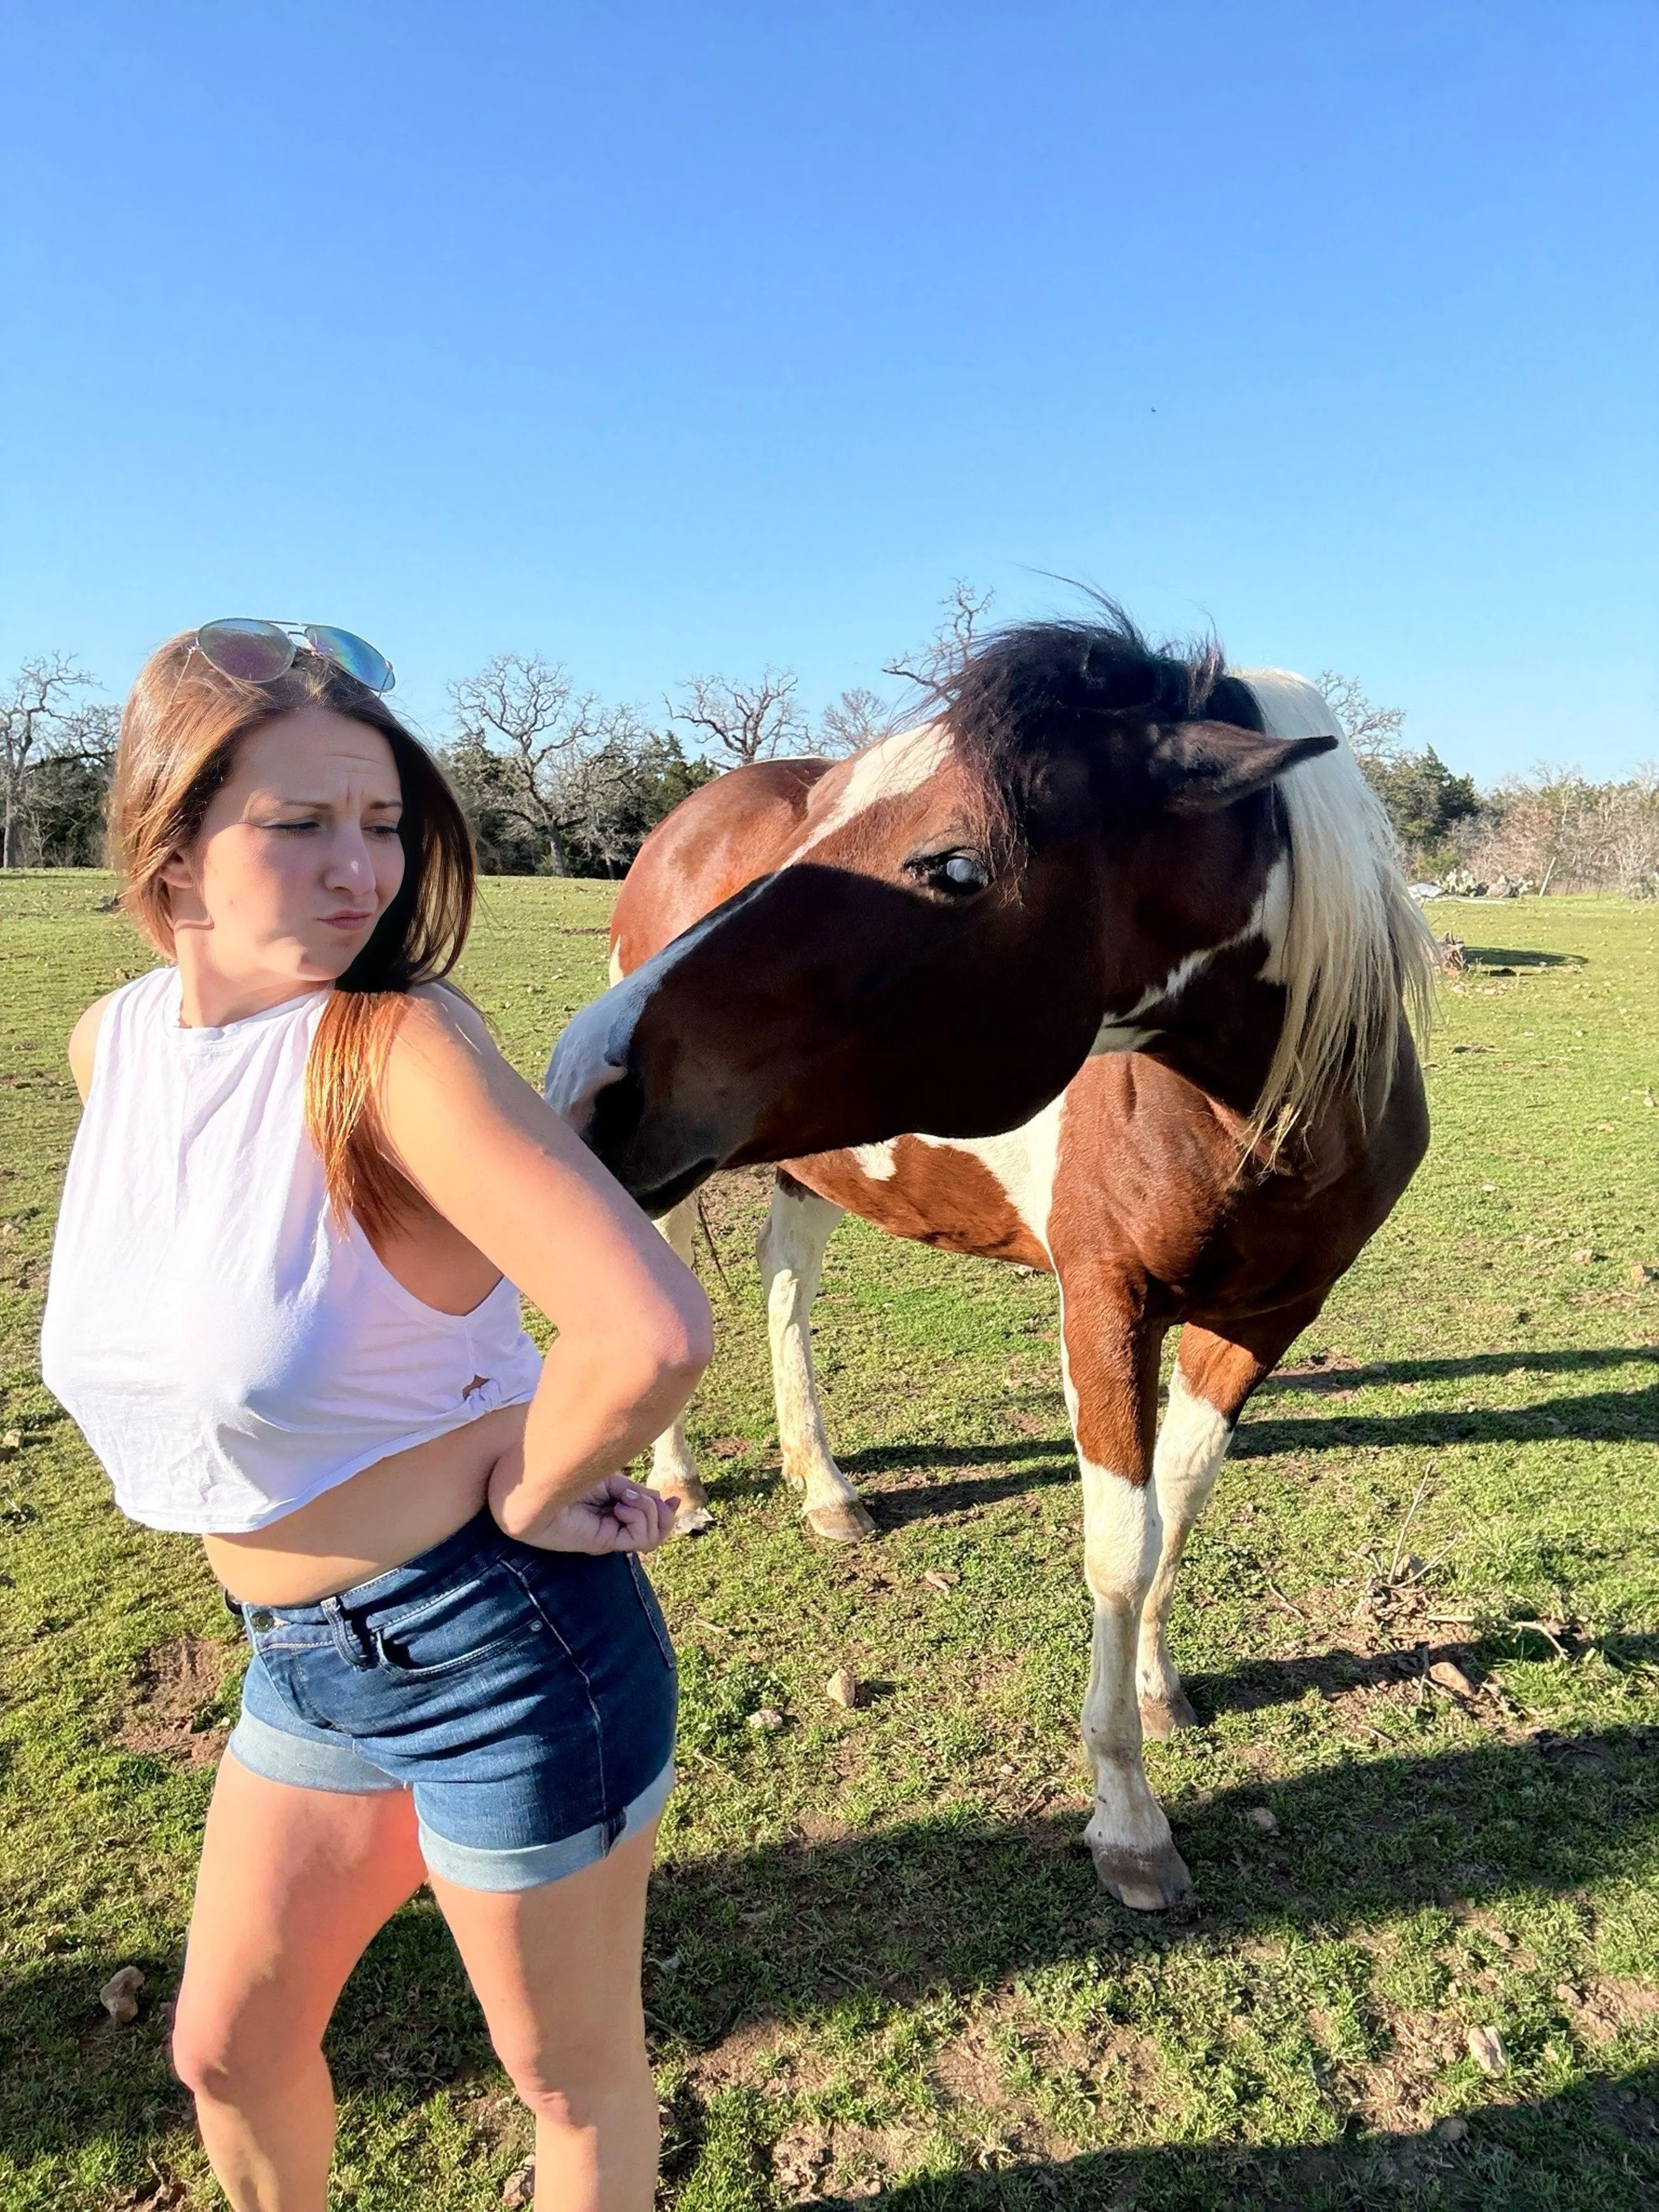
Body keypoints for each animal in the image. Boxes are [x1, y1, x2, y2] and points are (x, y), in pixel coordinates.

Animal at [545, 610, 1435, 1910]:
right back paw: (684, 1484)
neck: (1254, 1111)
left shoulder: (1269, 1318)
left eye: (954, 866)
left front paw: (1161, 1689)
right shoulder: (1106, 1305)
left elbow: (1181, 1501)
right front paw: (1129, 1824)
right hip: (679, 1173)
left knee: (784, 1285)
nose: (587, 1069)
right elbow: (1120, 1545)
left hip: (810, 1161)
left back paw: (826, 1489)